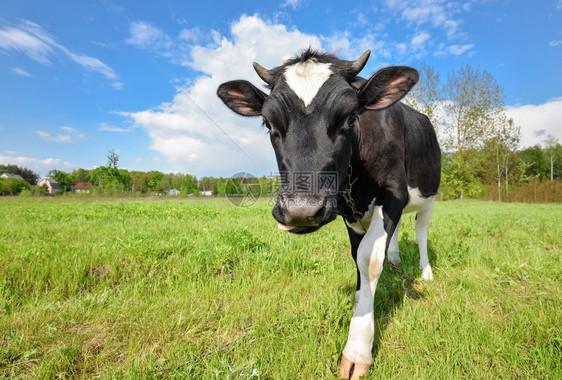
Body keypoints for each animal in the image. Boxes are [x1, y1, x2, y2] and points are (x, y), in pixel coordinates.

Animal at [217, 50, 440, 380]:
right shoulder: (349, 212)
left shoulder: (394, 194)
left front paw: (358, 348)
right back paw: (396, 259)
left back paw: (425, 272)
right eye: (268, 123)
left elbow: (368, 259)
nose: (301, 209)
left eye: (350, 117)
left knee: (421, 231)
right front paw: (362, 300)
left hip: (429, 195)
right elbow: (357, 256)